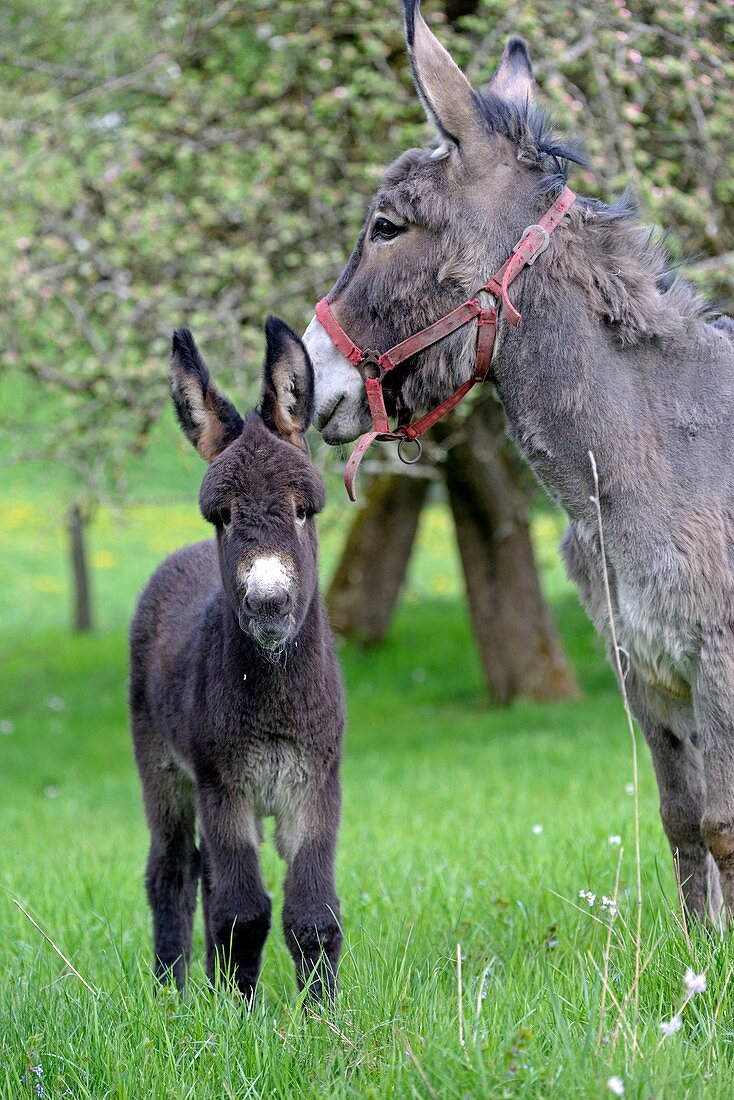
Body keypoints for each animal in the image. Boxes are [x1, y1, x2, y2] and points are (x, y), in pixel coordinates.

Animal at [130, 321, 345, 1007]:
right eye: (221, 516)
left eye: (304, 510)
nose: (269, 602)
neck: (274, 696)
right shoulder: (223, 785)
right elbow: (243, 911)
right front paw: (236, 1015)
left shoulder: (315, 786)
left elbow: (313, 914)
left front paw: (322, 1018)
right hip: (162, 768)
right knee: (173, 869)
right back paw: (171, 991)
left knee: (198, 872)